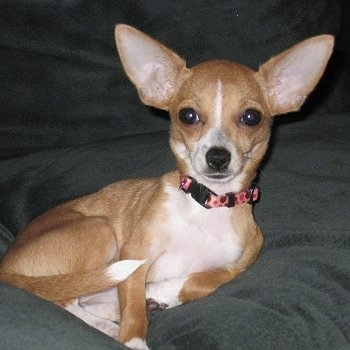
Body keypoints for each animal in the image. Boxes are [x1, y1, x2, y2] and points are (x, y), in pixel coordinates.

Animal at [0, 25, 334, 350]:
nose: (217, 157)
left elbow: (202, 281)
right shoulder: (136, 253)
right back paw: (112, 325)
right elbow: (133, 309)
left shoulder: (236, 267)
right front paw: (134, 338)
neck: (206, 205)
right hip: (99, 229)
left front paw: (160, 292)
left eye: (251, 117)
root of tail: (6, 265)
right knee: (65, 300)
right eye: (188, 115)